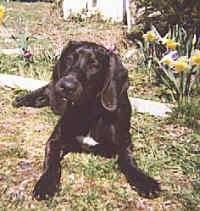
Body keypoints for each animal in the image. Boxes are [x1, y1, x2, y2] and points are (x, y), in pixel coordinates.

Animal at [13, 40, 161, 199]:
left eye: (94, 65)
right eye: (69, 58)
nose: (66, 85)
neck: (90, 112)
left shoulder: (124, 141)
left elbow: (128, 160)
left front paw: (144, 180)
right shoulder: (55, 140)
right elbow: (51, 161)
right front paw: (46, 183)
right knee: (47, 89)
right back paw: (23, 98)